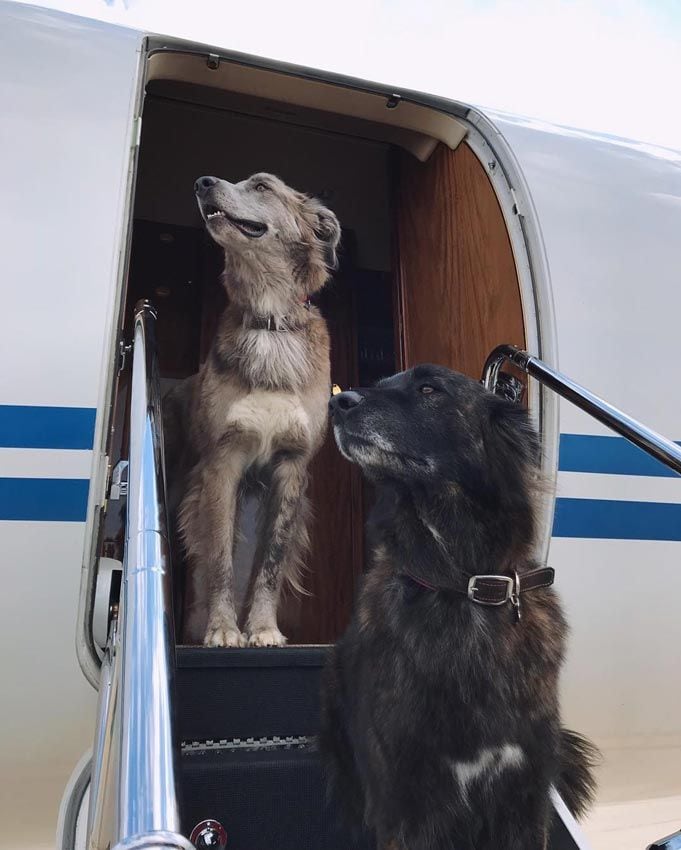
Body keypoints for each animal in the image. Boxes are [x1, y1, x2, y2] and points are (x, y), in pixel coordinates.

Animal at [165, 174, 340, 648]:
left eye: (262, 186)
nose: (202, 182)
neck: (270, 320)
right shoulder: (222, 463)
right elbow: (220, 556)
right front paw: (223, 628)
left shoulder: (291, 466)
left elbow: (271, 562)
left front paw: (262, 628)